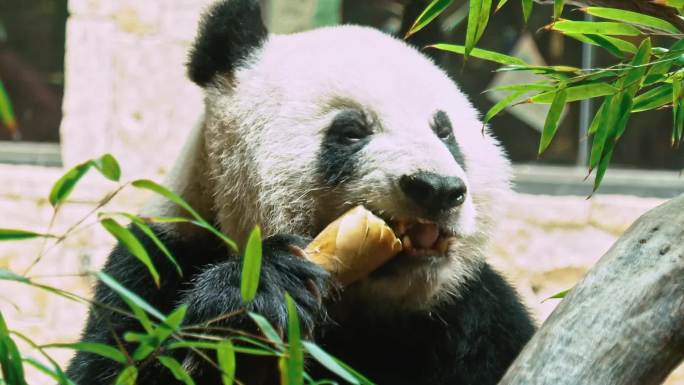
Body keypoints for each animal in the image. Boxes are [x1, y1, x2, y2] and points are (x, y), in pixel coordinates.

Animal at [65, 0, 536, 384]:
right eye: (351, 132)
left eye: (445, 132)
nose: (436, 188)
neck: (363, 310)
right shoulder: (155, 262)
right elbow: (118, 361)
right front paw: (257, 293)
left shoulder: (477, 314)